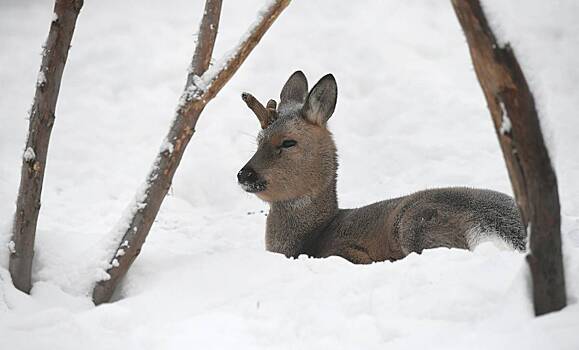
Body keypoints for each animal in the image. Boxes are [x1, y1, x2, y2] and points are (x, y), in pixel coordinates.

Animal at [238, 71, 528, 262]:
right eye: (258, 139)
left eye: (288, 142)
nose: (244, 174)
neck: (311, 237)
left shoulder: (349, 251)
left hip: (417, 223)